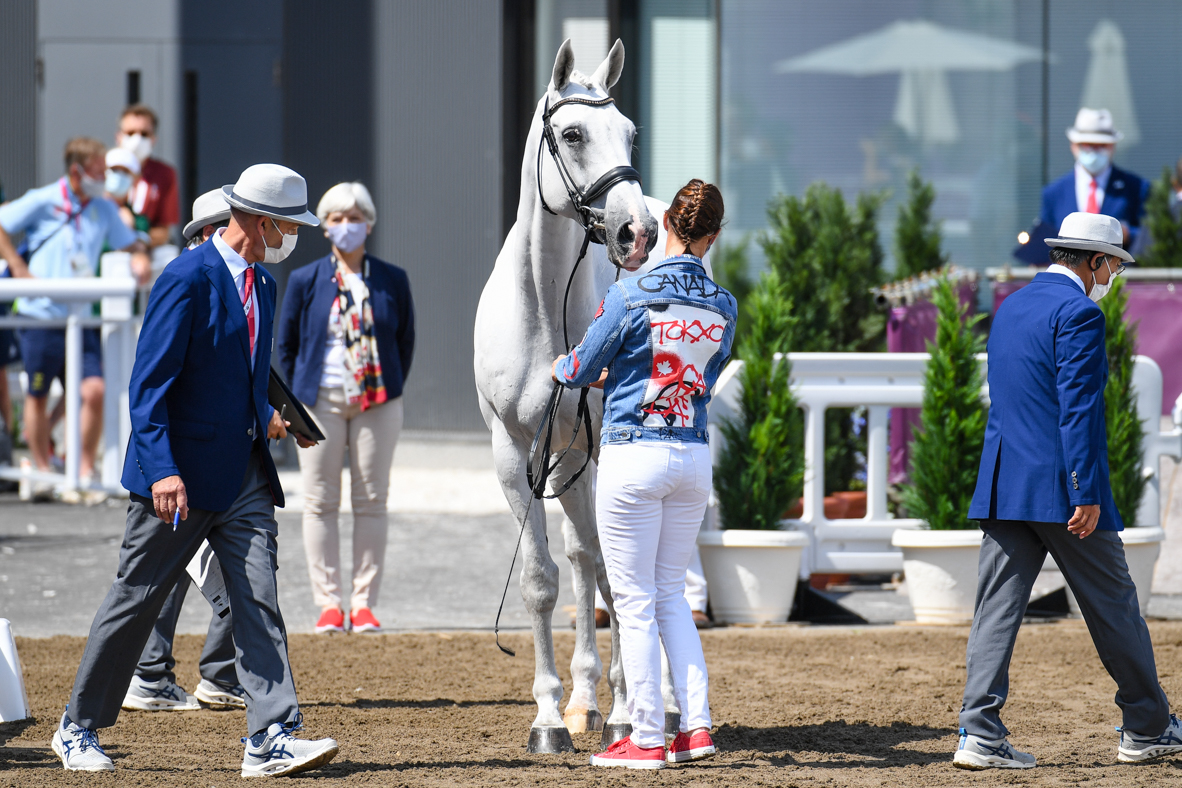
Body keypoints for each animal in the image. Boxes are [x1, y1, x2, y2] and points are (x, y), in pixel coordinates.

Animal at [472, 38, 661, 751]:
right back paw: (585, 703)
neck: (543, 310)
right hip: (568, 461)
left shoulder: (601, 445)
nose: (637, 231)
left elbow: (609, 569)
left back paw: (634, 705)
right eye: (573, 133)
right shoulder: (513, 450)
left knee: (608, 564)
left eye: (630, 132)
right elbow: (542, 581)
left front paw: (624, 709)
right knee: (585, 562)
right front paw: (551, 718)